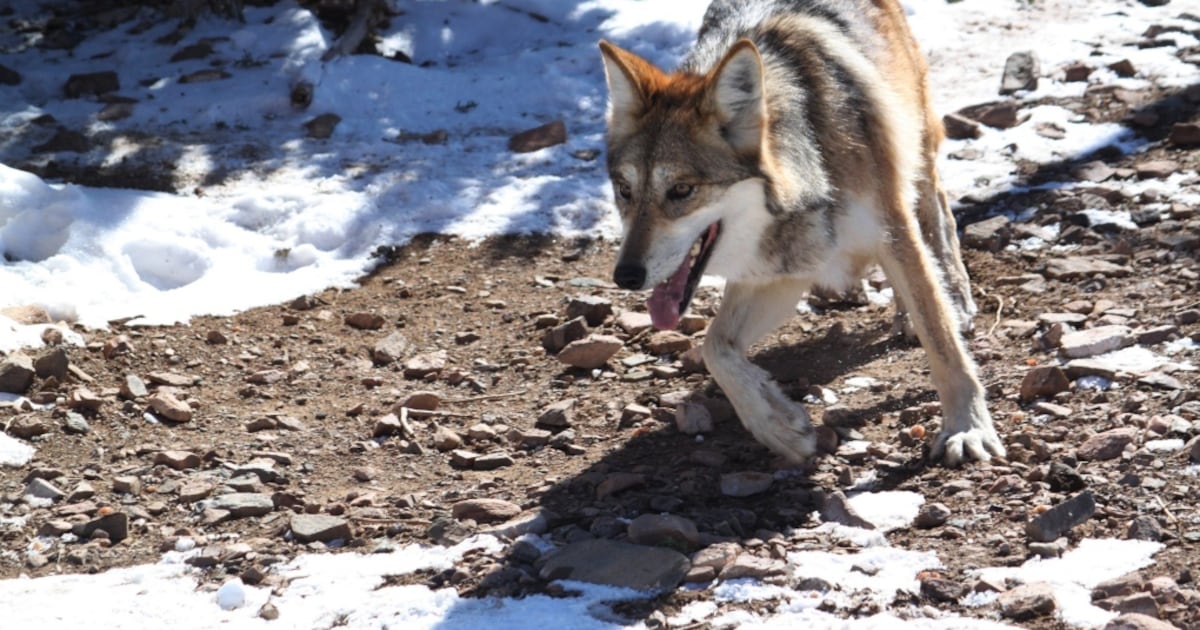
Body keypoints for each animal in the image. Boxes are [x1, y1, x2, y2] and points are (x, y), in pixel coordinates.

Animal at [598, 0, 1004, 465]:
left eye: (681, 190)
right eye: (625, 191)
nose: (625, 276)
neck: (814, 165)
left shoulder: (891, 228)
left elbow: (942, 342)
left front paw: (967, 428)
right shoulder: (786, 267)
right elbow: (716, 347)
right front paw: (778, 425)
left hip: (914, 138)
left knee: (935, 206)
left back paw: (955, 294)